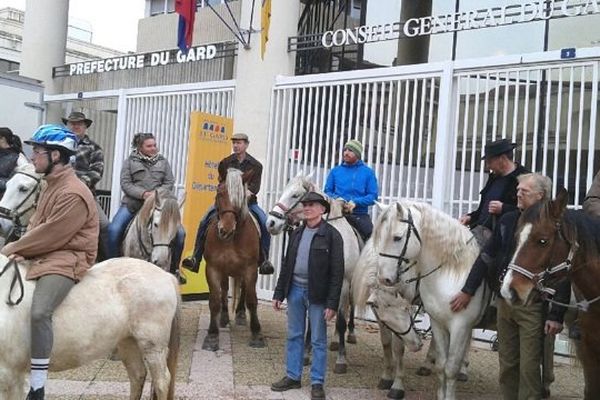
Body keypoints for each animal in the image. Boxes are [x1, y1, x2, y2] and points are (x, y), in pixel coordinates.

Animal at [0, 256, 179, 400]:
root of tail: (167, 276)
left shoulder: (9, 375)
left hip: (152, 346)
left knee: (162, 381)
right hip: (128, 342)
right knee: (137, 376)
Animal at [202, 167, 264, 352]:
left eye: (240, 197)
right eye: (219, 192)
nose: (226, 230)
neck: (232, 239)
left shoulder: (250, 269)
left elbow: (252, 299)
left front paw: (256, 334)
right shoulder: (213, 268)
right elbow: (214, 300)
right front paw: (212, 335)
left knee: (243, 290)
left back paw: (241, 315)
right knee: (224, 291)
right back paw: (223, 318)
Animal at [268, 173, 360, 376]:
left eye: (295, 195)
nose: (271, 222)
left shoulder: (343, 284)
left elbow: (340, 321)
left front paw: (341, 360)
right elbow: (313, 319)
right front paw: (306, 352)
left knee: (349, 310)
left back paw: (350, 334)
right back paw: (335, 340)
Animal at [372, 202, 490, 400]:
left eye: (397, 238)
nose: (384, 278)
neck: (453, 271)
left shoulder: (460, 325)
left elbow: (450, 368)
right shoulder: (438, 322)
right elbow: (441, 365)